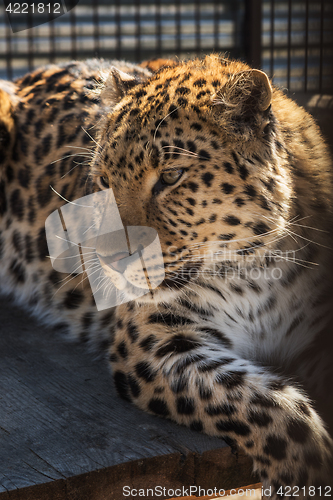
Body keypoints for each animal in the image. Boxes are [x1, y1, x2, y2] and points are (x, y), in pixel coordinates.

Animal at [0, 54, 332, 496]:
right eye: (102, 181)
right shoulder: (154, 342)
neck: (256, 269)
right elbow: (275, 410)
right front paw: (305, 474)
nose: (109, 261)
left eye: (171, 177)